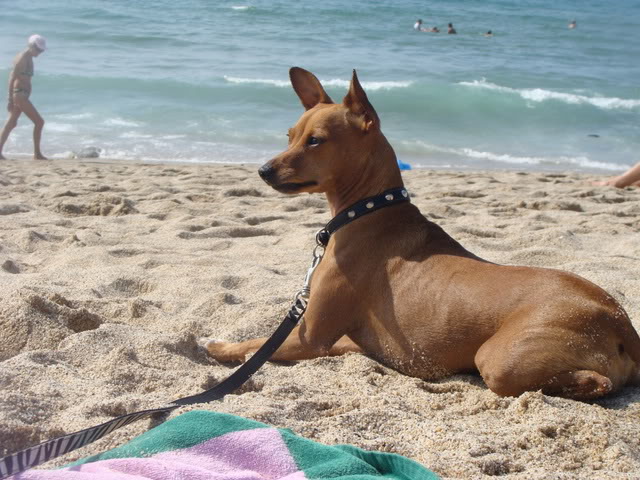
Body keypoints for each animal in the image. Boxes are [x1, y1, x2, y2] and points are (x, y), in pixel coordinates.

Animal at [206, 65, 640, 400]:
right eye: (290, 135)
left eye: (316, 141)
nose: (263, 170)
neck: (369, 210)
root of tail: (619, 321)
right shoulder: (336, 340)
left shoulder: (311, 335)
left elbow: (255, 345)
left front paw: (219, 346)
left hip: (500, 360)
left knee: (594, 383)